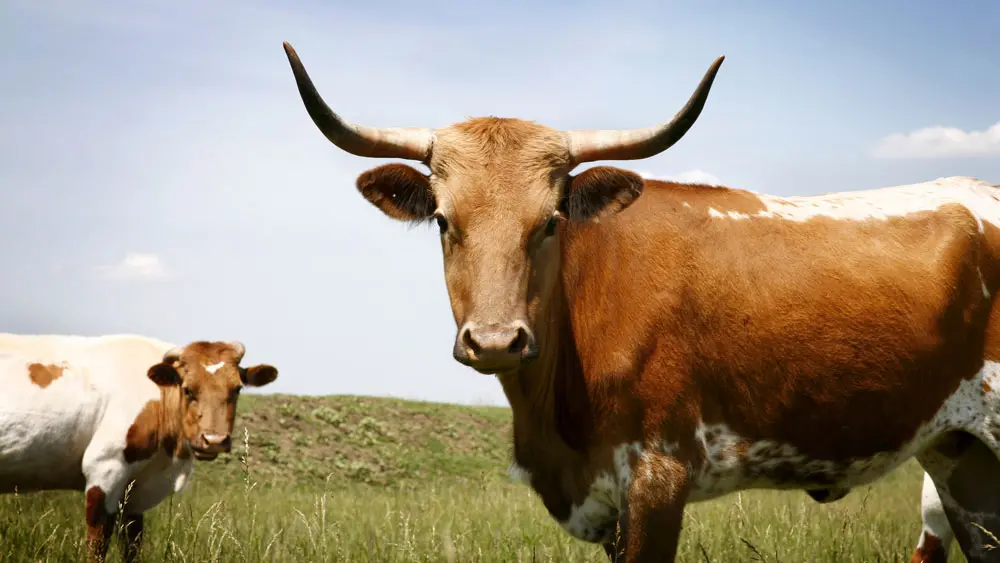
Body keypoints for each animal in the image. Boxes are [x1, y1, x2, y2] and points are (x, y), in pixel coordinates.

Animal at [0, 334, 280, 560]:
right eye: (188, 389)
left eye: (237, 389)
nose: (214, 440)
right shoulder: (104, 469)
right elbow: (97, 545)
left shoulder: (135, 494)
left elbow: (132, 546)